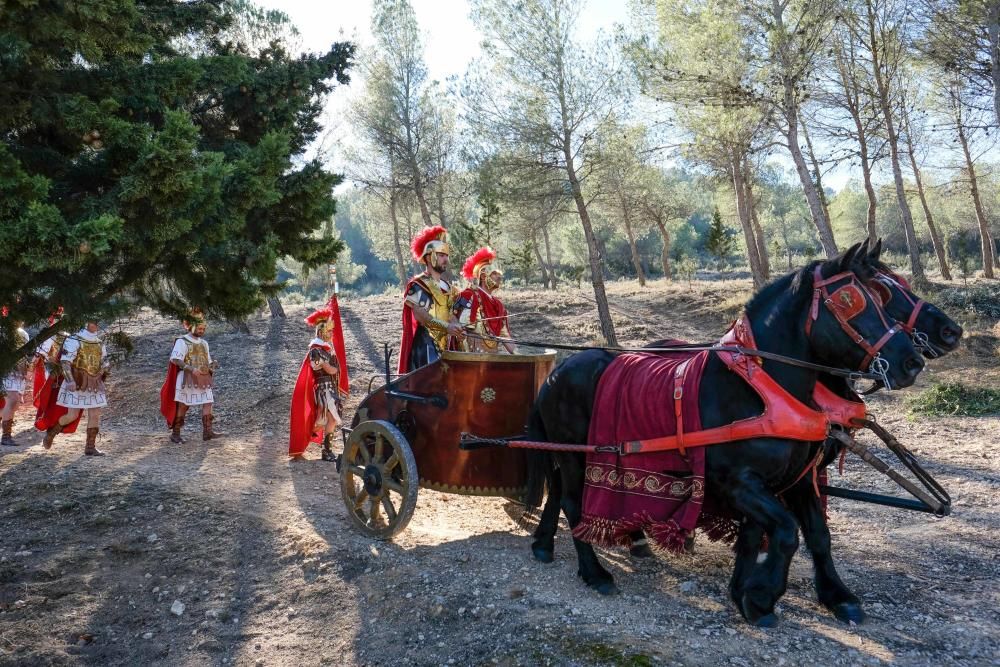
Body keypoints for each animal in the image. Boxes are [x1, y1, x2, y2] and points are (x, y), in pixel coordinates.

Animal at [524, 243, 920, 628]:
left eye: (882, 296)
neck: (760, 388)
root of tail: (556, 372)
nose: (911, 361)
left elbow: (808, 534)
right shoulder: (737, 482)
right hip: (575, 456)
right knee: (573, 504)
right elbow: (786, 532)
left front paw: (828, 595)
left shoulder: (794, 479)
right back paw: (595, 573)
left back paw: (547, 544)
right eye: (852, 299)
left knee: (559, 493)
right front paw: (761, 597)